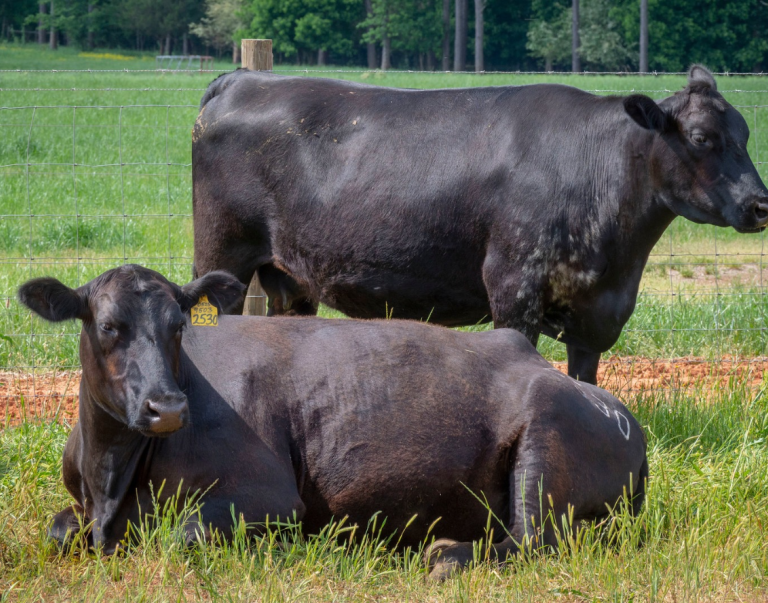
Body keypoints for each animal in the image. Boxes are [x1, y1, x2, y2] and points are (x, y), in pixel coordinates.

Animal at [19, 265, 646, 580]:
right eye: (108, 326)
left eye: (179, 324)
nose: (167, 407)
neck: (111, 476)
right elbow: (58, 531)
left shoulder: (270, 497)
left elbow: (184, 537)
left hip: (546, 436)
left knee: (532, 540)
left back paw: (446, 554)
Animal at [191, 65, 768, 385]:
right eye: (701, 138)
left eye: (744, 133)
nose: (761, 204)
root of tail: (243, 79)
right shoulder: (514, 288)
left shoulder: (594, 315)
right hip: (222, 252)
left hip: (289, 275)